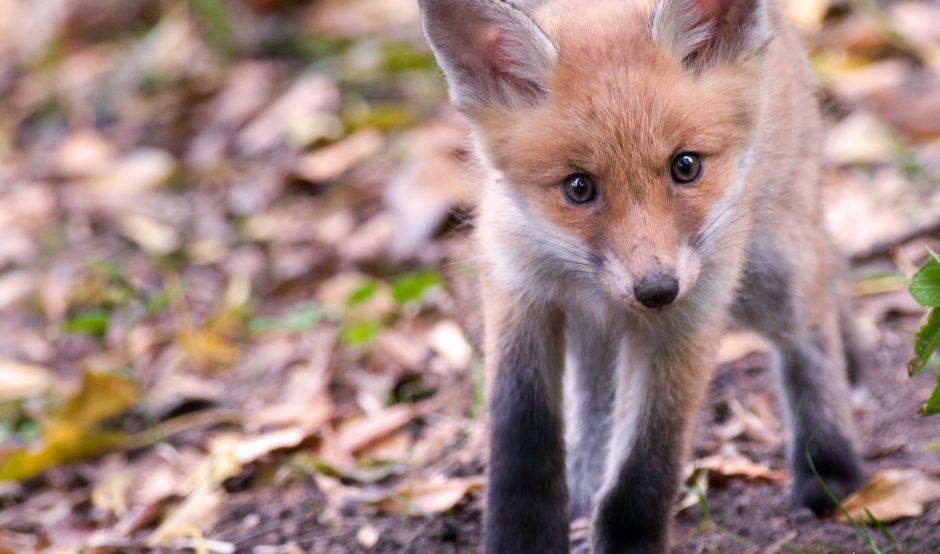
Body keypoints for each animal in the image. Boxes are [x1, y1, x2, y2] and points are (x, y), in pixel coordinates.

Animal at [418, 0, 868, 548]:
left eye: (686, 166)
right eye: (578, 187)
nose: (656, 289)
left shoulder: (689, 316)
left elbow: (646, 467)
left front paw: (627, 540)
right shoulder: (519, 292)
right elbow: (522, 442)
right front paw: (525, 538)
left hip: (770, 270)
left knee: (814, 325)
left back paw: (828, 466)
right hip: (599, 329)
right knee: (593, 402)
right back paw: (583, 490)